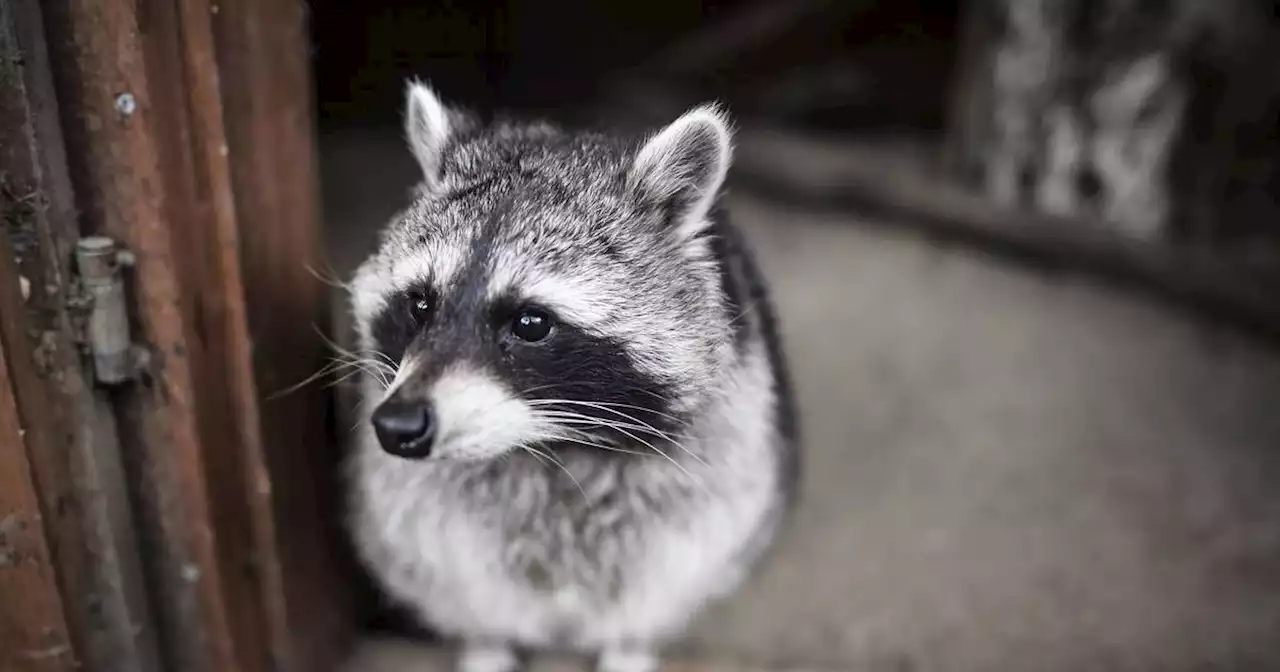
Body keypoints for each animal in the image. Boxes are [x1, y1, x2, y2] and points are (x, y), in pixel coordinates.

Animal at [345, 82, 793, 670]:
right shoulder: (405, 486)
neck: (547, 445)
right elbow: (451, 557)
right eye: (420, 305)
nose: (397, 425)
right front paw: (484, 638)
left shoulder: (725, 439)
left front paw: (628, 642)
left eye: (531, 322)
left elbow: (670, 559)